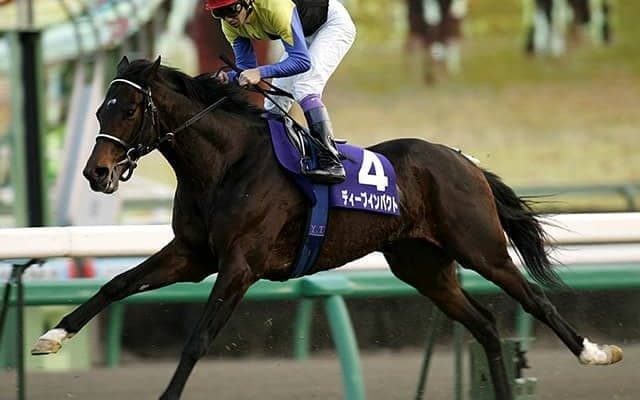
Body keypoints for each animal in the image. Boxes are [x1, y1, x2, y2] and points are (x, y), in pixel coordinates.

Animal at [30, 56, 622, 400]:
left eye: (129, 110)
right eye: (101, 109)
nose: (95, 173)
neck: (225, 163)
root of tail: (463, 159)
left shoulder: (241, 265)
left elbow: (197, 339)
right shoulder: (193, 255)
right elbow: (117, 284)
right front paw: (53, 336)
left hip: (481, 248)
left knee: (532, 301)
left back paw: (595, 352)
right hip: (423, 267)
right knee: (484, 324)